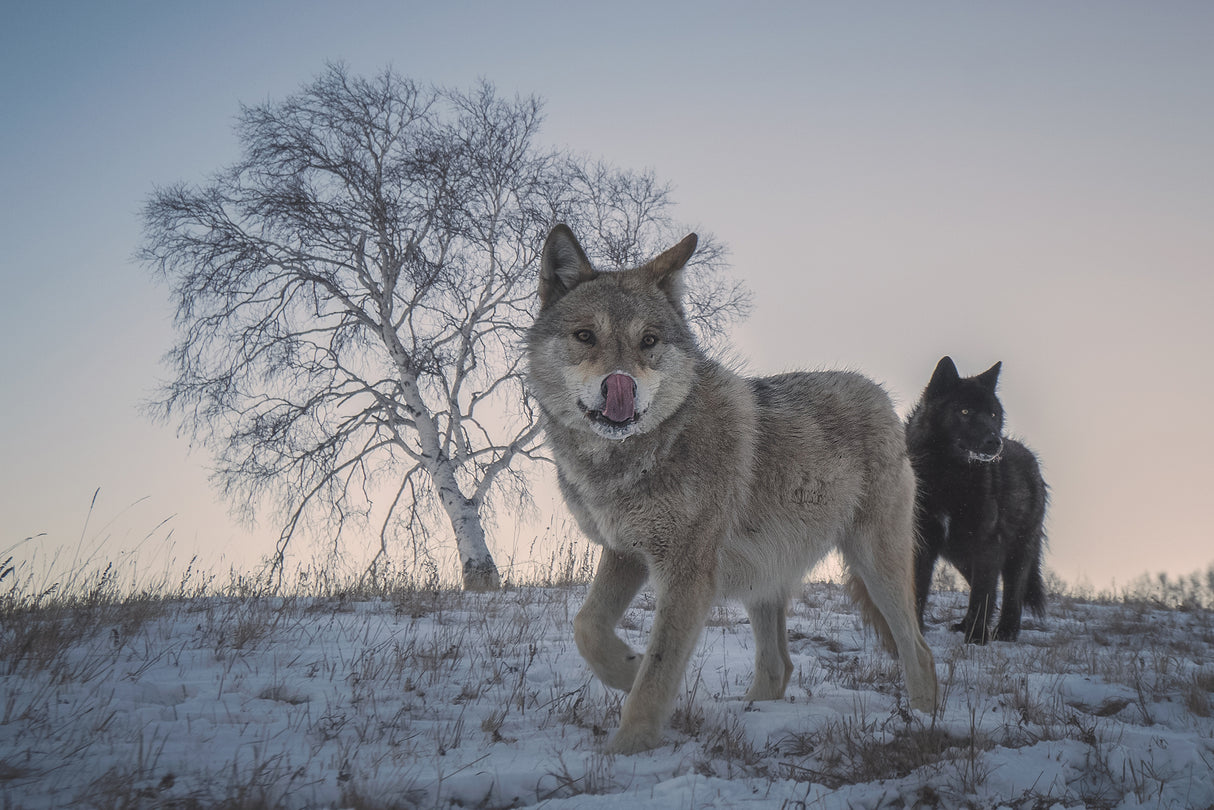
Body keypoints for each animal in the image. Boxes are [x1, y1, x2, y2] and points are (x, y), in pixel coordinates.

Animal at [526, 225, 938, 754]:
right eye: (585, 336)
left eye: (649, 341)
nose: (621, 387)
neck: (635, 458)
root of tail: (881, 394)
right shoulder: (625, 552)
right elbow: (587, 627)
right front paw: (628, 669)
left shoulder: (687, 575)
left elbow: (657, 674)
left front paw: (628, 749)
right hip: (764, 578)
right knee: (780, 666)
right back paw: (754, 713)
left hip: (874, 564)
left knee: (919, 649)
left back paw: (925, 724)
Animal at [906, 356, 1048, 644]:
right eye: (965, 412)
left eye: (993, 415)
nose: (995, 442)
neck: (950, 478)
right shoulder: (922, 542)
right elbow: (920, 591)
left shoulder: (986, 542)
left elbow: (983, 594)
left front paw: (977, 639)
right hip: (962, 555)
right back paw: (965, 625)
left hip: (1016, 553)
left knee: (1011, 594)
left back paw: (1005, 632)